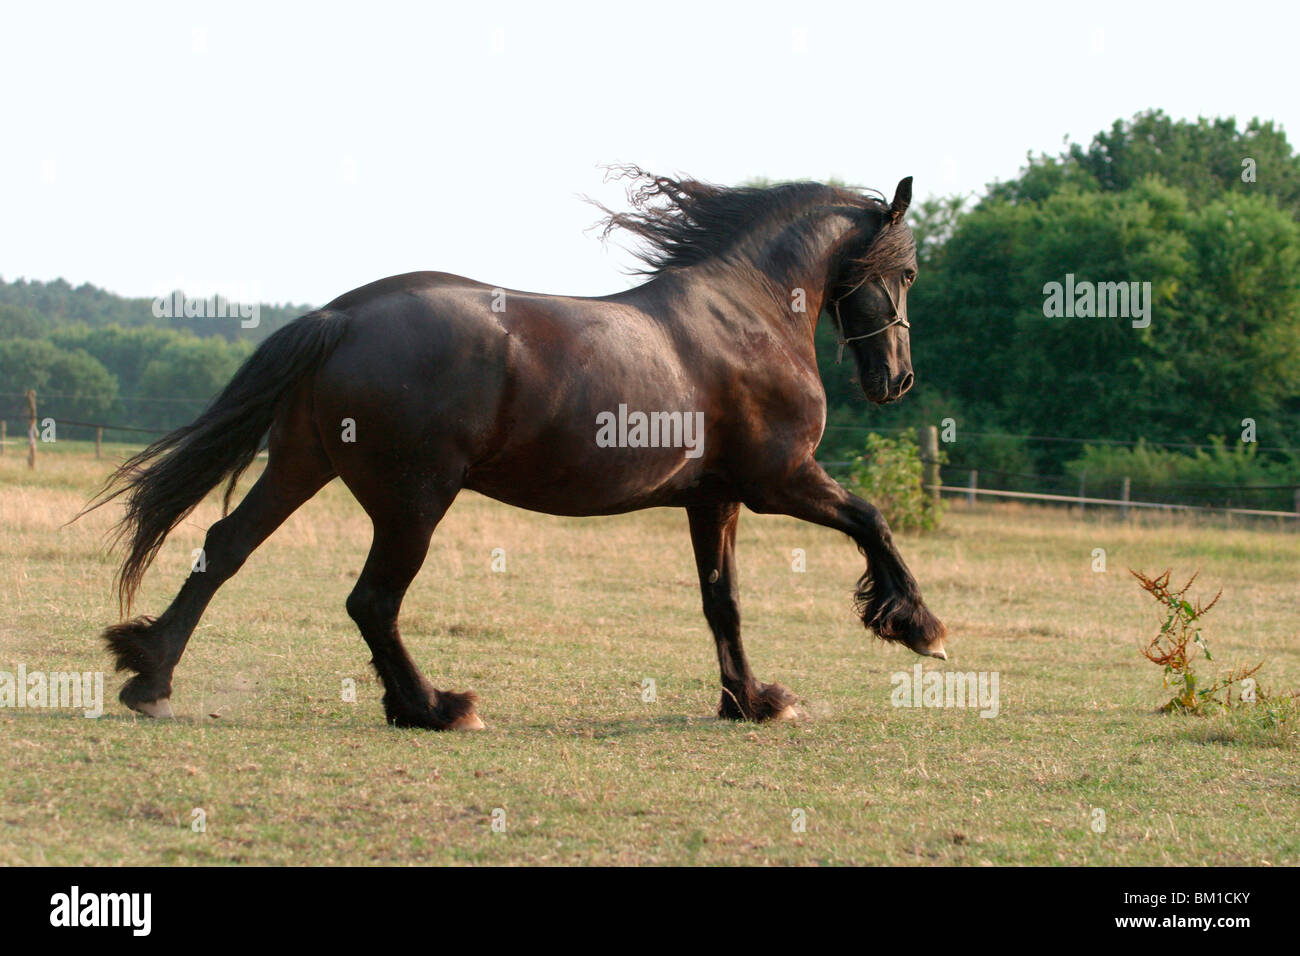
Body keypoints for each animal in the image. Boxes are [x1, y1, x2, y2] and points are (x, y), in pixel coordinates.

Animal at [83, 167, 948, 731]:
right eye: (906, 271)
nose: (900, 378)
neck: (745, 314)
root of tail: (343, 316)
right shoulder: (780, 480)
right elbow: (872, 520)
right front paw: (918, 626)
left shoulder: (715, 498)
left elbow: (721, 601)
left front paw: (750, 700)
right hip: (413, 502)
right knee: (371, 600)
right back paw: (435, 708)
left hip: (302, 463)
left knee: (224, 547)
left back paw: (150, 673)